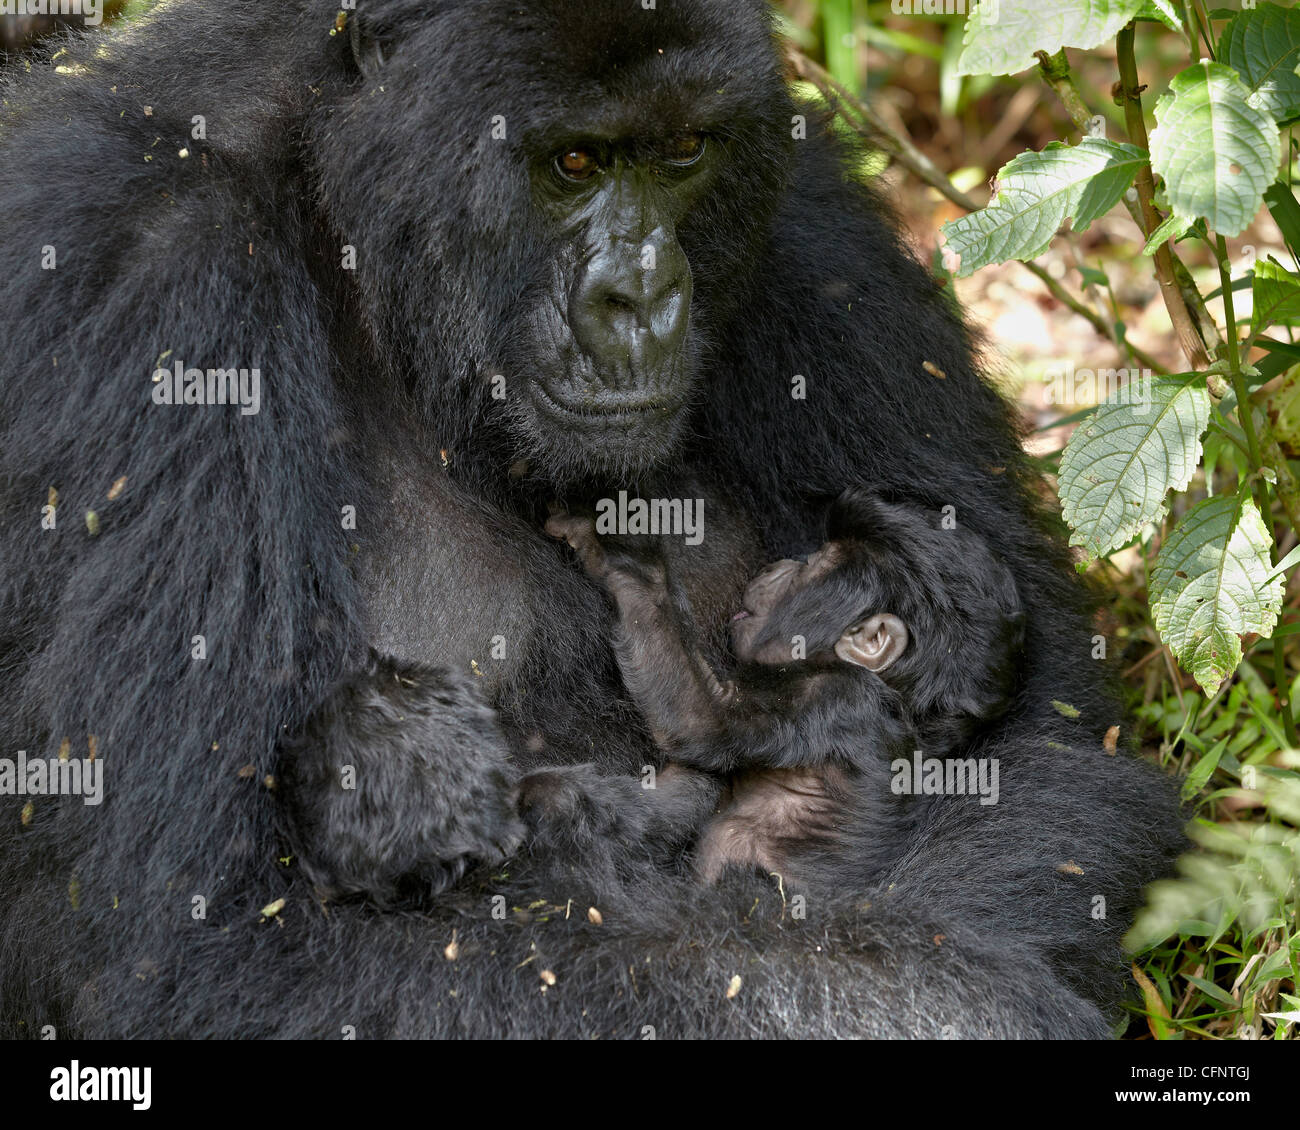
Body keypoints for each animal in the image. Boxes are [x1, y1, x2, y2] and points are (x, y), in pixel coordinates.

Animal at [543, 488, 1019, 884]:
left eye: (812, 566)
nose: (781, 565)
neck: (894, 697)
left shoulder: (834, 696)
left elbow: (705, 719)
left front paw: (615, 551)